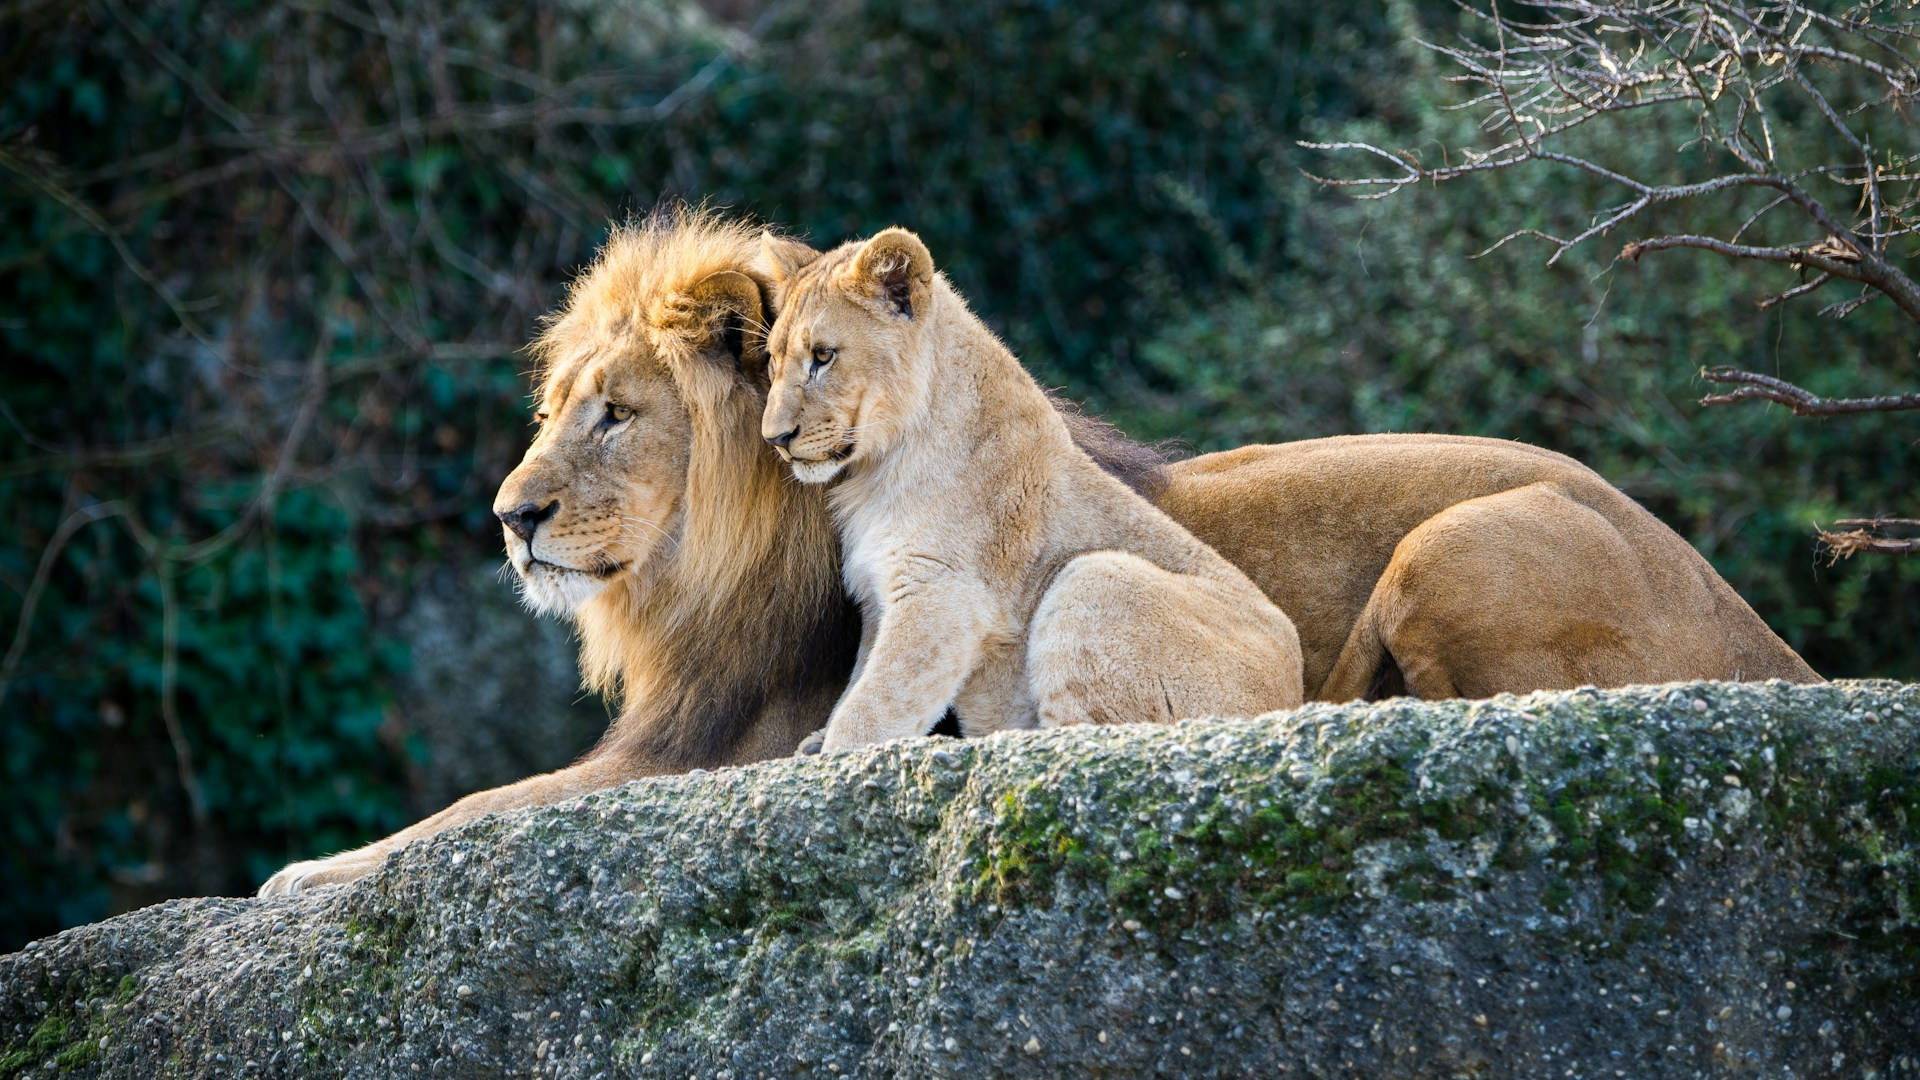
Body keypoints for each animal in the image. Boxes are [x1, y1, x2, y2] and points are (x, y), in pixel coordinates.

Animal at [759, 227, 1304, 751]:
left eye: (823, 357)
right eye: (772, 361)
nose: (775, 438)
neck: (877, 470)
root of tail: (1293, 697)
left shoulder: (943, 592)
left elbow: (874, 704)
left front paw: (830, 756)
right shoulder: (877, 595)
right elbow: (858, 684)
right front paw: (816, 744)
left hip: (1095, 576)